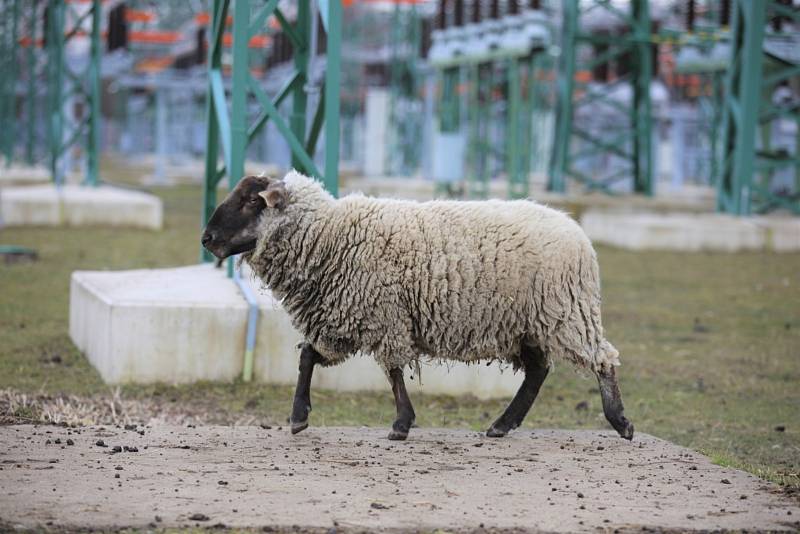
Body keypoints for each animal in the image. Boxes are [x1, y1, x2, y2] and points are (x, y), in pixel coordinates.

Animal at [203, 173, 636, 444]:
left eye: (249, 200)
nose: (207, 239)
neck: (330, 235)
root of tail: (577, 232)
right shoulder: (342, 320)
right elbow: (308, 356)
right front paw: (298, 417)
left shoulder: (382, 315)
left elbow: (393, 372)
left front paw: (400, 424)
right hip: (528, 323)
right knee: (538, 372)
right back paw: (502, 425)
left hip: (566, 312)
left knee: (601, 360)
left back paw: (621, 422)